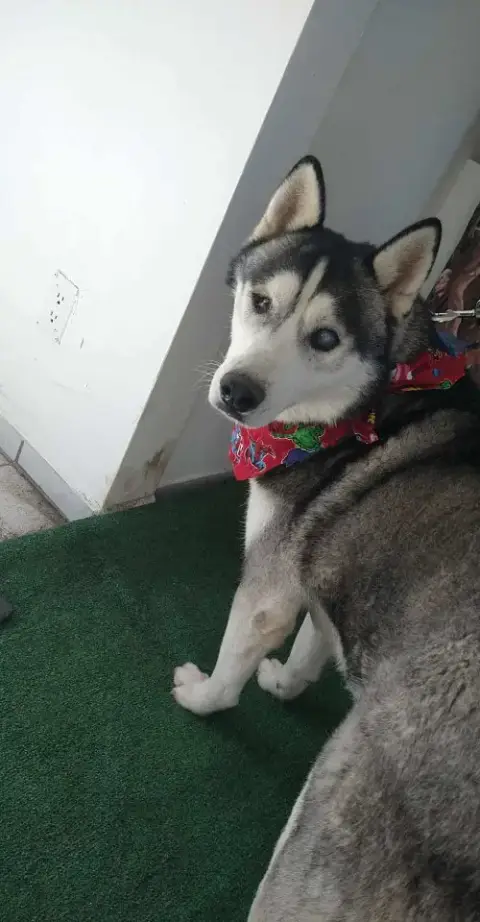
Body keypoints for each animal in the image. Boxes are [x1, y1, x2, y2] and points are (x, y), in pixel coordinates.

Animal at [173, 156, 480, 920]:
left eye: (325, 339)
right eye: (260, 301)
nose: (237, 392)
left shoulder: (267, 585)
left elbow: (233, 667)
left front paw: (203, 695)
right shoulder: (322, 559)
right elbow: (315, 640)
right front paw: (288, 681)